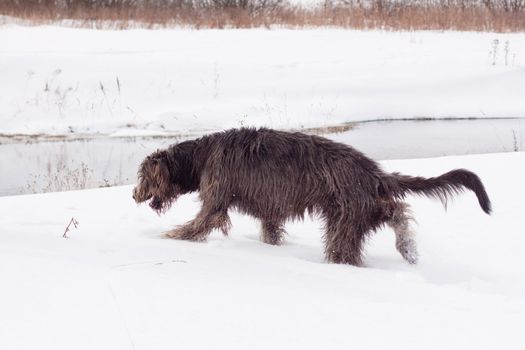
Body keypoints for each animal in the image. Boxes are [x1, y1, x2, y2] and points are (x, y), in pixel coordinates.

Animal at [133, 128, 490, 266]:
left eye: (141, 176)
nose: (134, 195)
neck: (201, 156)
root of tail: (373, 173)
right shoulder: (270, 210)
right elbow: (271, 230)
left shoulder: (216, 198)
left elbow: (199, 223)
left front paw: (168, 238)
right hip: (362, 208)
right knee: (396, 211)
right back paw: (408, 247)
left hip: (345, 216)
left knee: (348, 245)